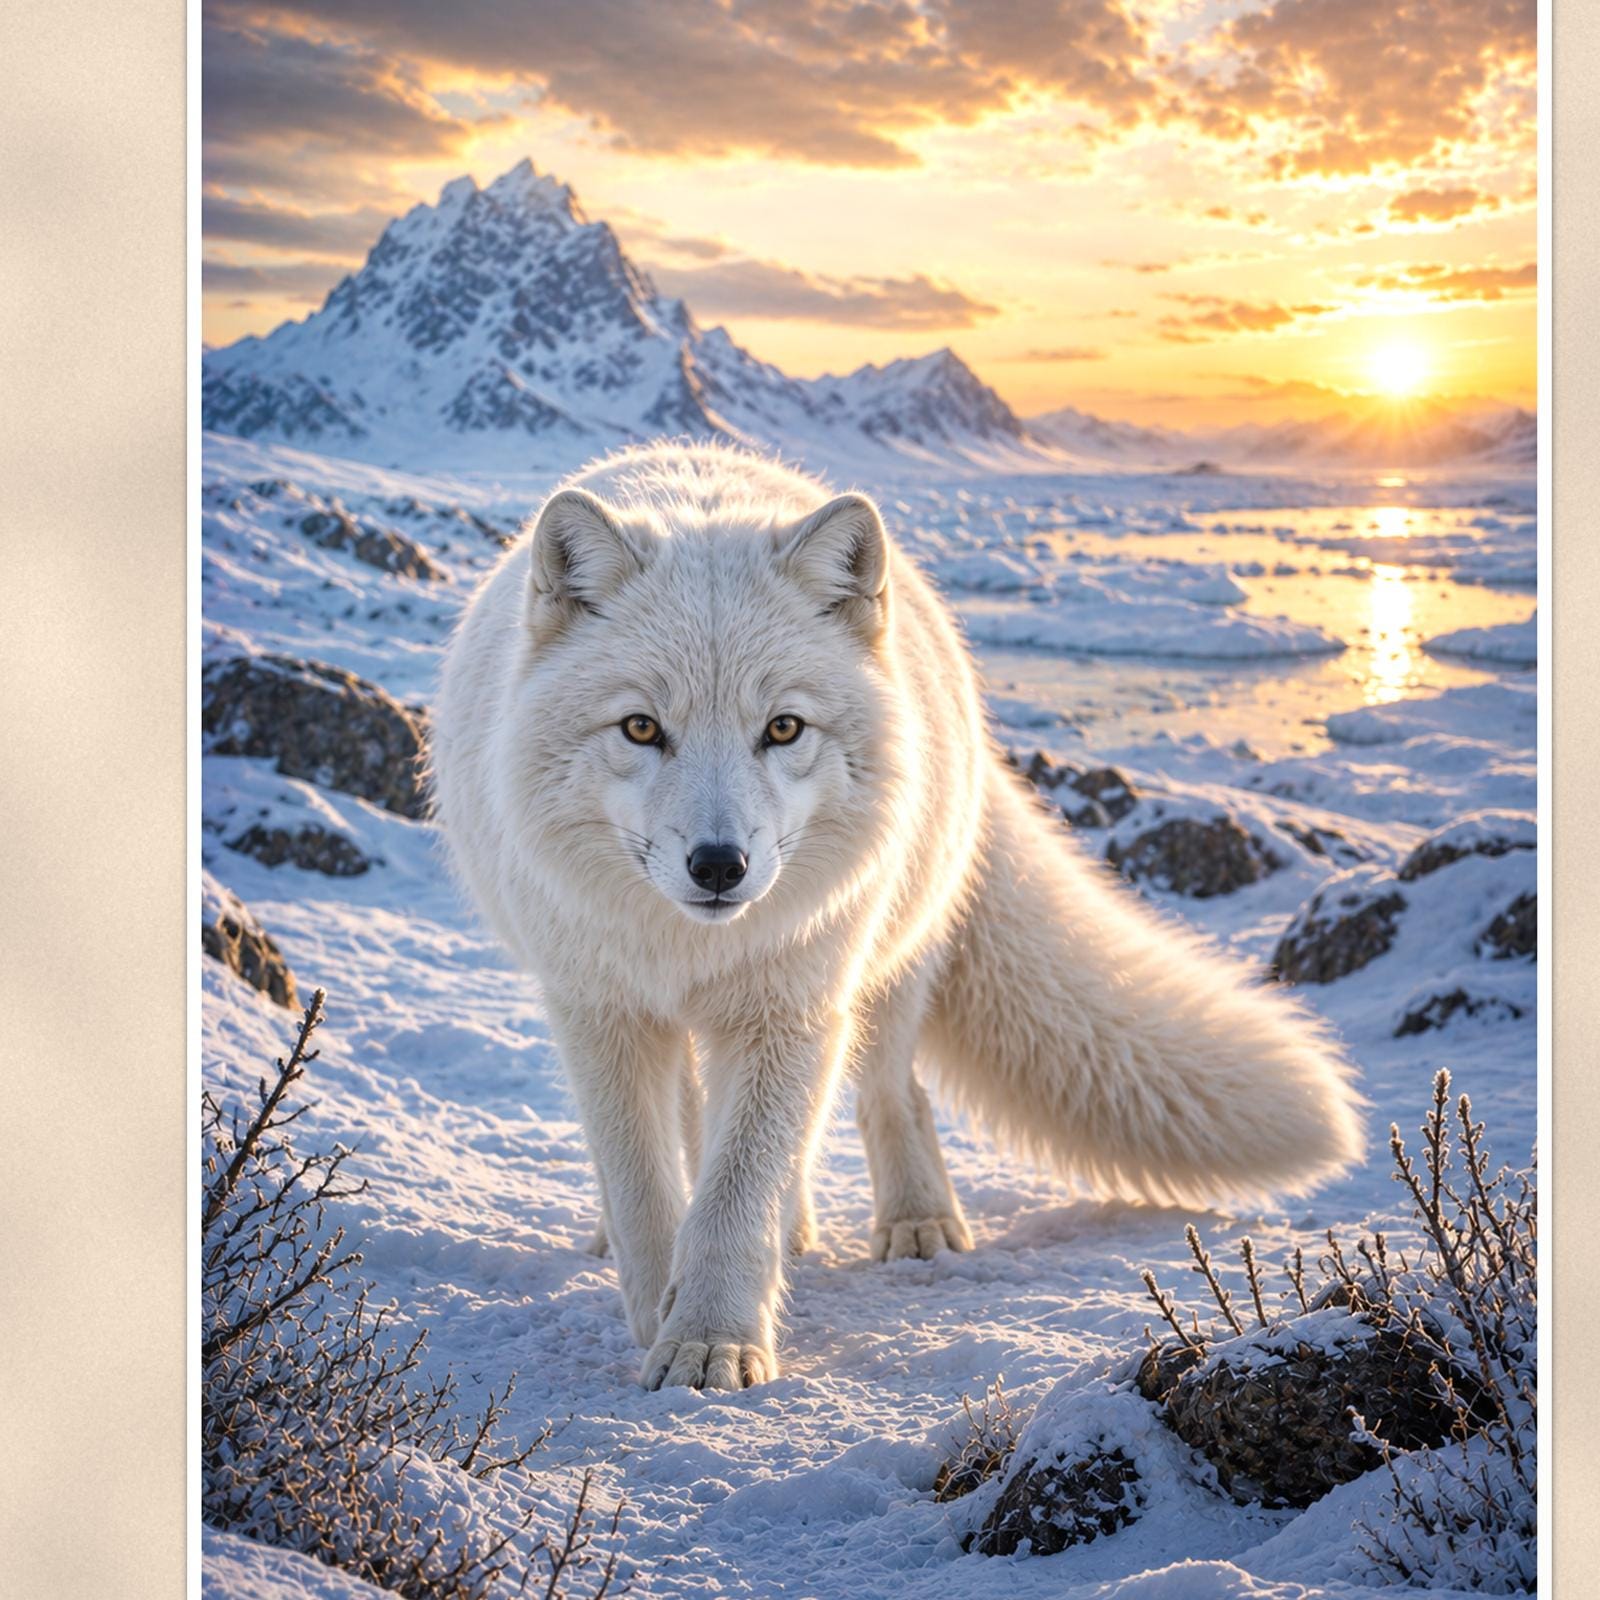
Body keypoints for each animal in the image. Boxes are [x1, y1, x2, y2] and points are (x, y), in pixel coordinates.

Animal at [431, 441, 1363, 1392]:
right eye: (642, 728)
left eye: (783, 728)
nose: (719, 866)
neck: (690, 948)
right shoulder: (600, 1012)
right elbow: (647, 1194)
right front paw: (659, 1310)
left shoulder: (791, 1007)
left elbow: (737, 1193)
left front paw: (708, 1341)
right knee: (699, 1124)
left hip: (880, 969)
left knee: (886, 1094)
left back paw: (907, 1222)